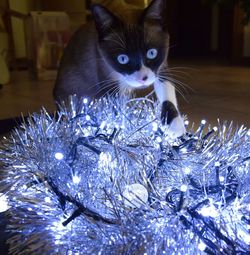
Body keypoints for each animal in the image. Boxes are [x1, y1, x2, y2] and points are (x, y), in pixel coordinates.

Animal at [53, 0, 186, 137]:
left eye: (152, 53)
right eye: (122, 59)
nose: (143, 79)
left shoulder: (161, 67)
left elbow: (167, 93)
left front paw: (175, 127)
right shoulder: (108, 80)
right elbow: (115, 110)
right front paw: (122, 132)